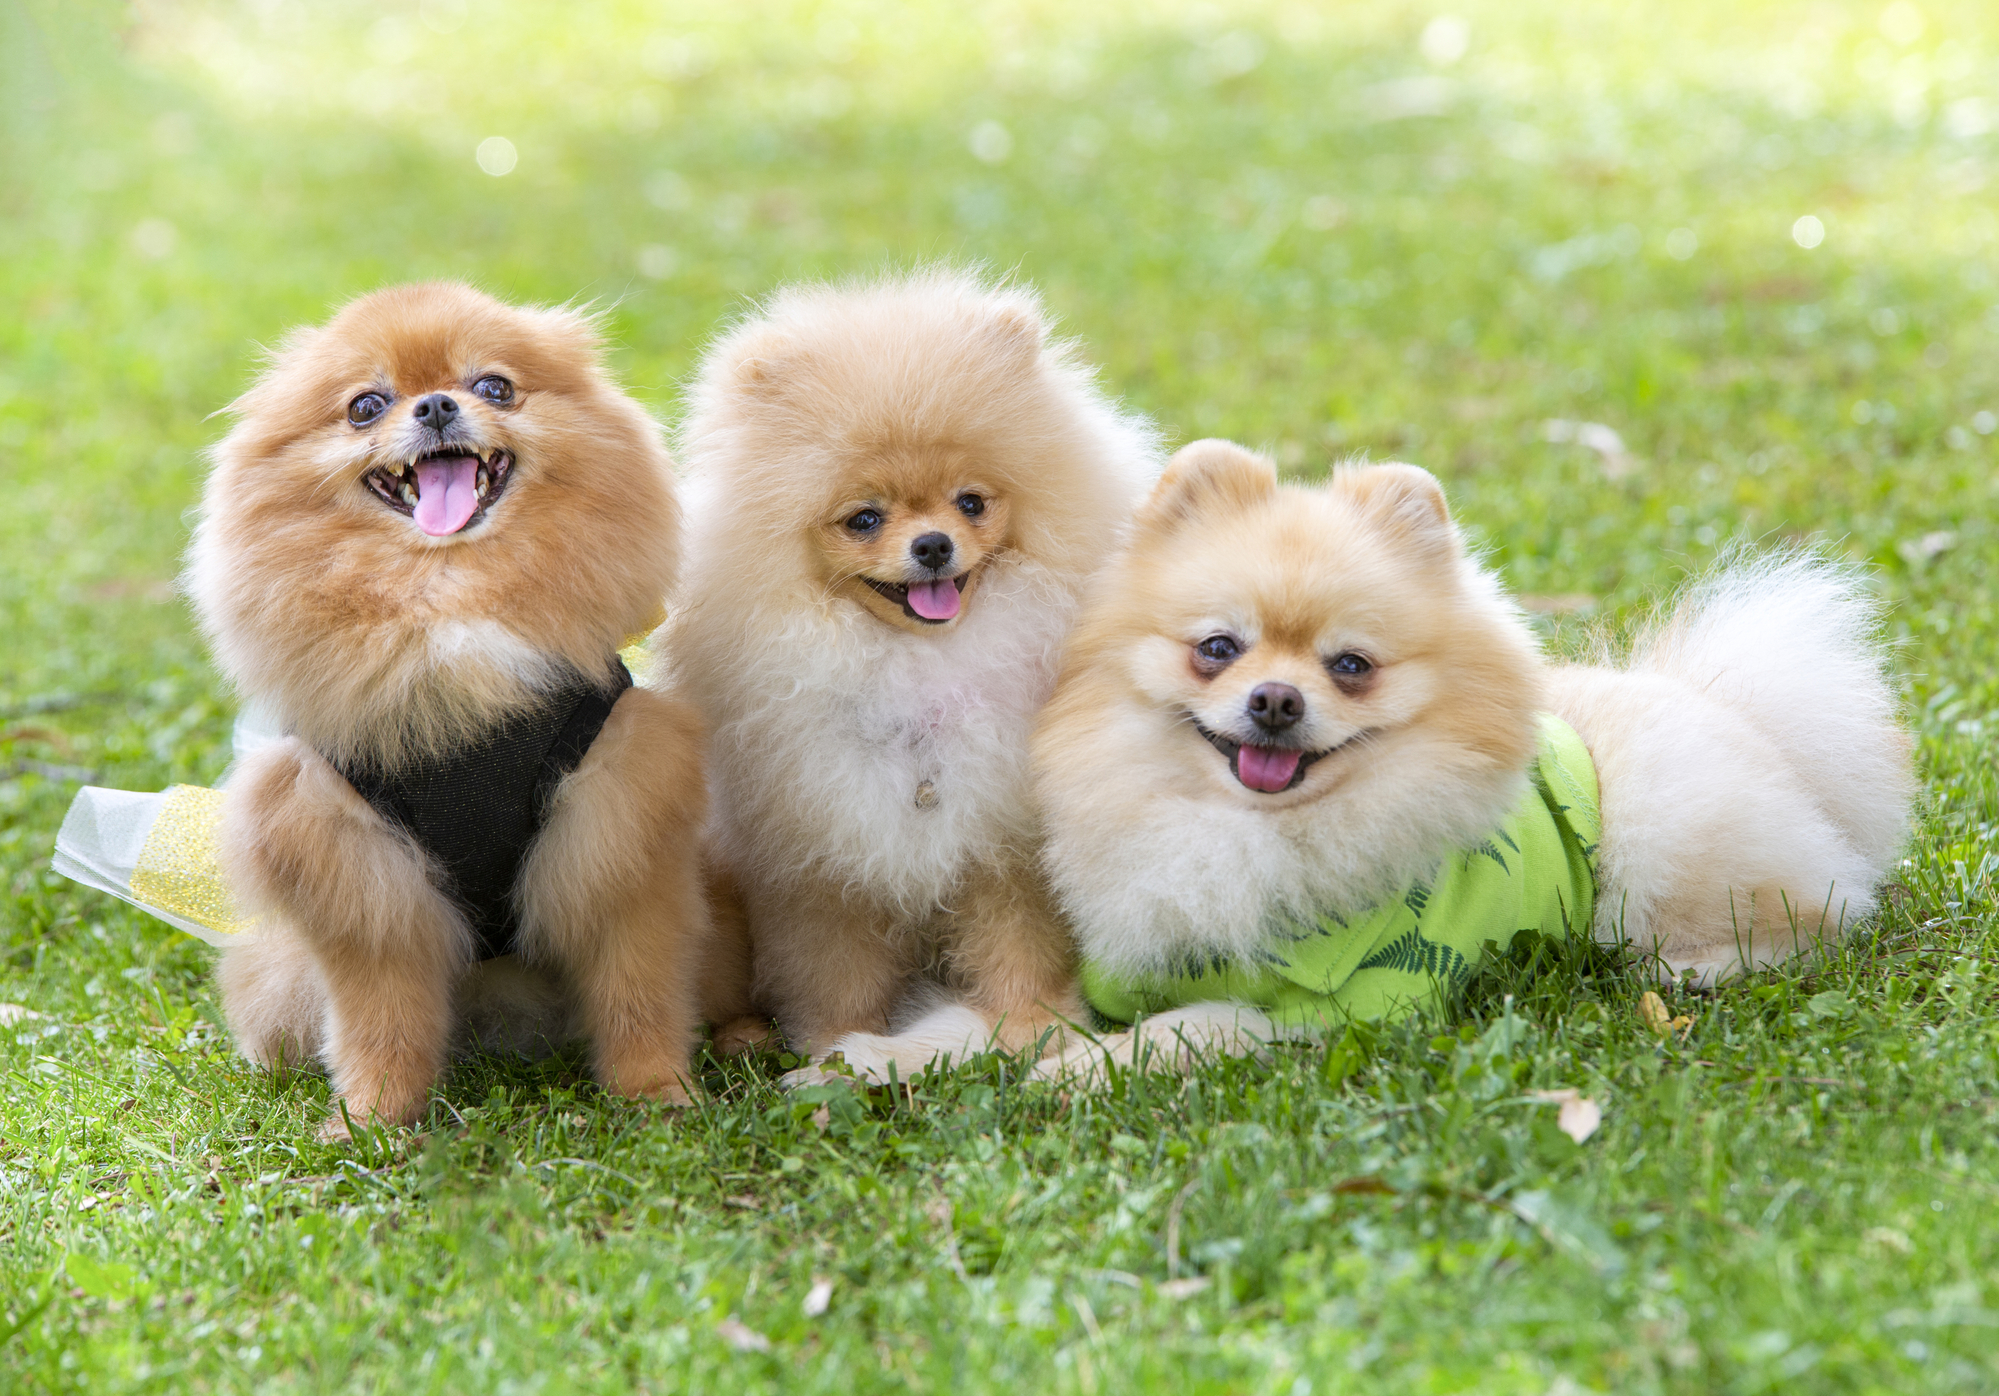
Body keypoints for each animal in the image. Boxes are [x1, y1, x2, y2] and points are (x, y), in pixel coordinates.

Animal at [188, 280, 719, 1128]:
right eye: (366, 406)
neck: (448, 597)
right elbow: (383, 1019)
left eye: (494, 387)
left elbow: (638, 992)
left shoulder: (620, 830)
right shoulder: (356, 865)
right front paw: (373, 1120)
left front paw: (657, 1096)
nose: (437, 405)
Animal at [655, 272, 1159, 1080]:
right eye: (864, 518)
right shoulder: (821, 856)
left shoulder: (1002, 842)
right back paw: (744, 1036)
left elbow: (1019, 944)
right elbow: (835, 969)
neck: (918, 669)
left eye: (971, 502)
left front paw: (1030, 1026)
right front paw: (837, 1045)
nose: (931, 545)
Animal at [1023, 444, 1911, 1080]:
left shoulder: (1359, 1004)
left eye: (1350, 665)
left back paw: (1699, 967)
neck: (1254, 830)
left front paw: (1088, 1067)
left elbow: (1213, 1021)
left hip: (1663, 836)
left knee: (1824, 913)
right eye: (1217, 649)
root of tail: (1741, 711)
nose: (1275, 700)